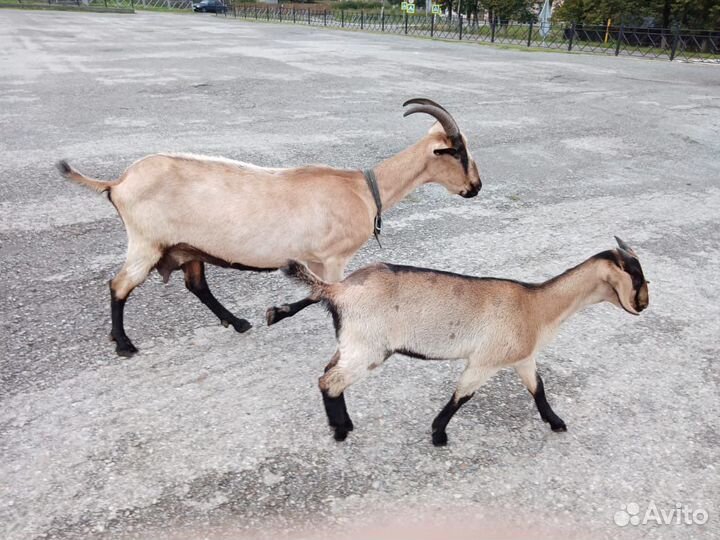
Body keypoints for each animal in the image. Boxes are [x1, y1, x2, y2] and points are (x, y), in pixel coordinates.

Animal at [57, 99, 482, 357]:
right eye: (458, 152)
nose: (475, 187)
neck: (364, 189)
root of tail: (118, 182)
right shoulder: (333, 256)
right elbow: (324, 292)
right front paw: (275, 313)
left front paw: (270, 314)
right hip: (147, 242)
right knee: (119, 285)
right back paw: (124, 344)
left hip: (187, 246)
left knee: (195, 284)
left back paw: (238, 322)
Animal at [284, 237, 650, 445]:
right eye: (635, 274)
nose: (644, 305)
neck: (536, 305)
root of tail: (337, 290)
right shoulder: (485, 360)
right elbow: (463, 395)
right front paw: (438, 435)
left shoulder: (522, 357)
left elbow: (539, 389)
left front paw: (556, 422)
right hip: (368, 346)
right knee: (329, 381)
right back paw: (340, 431)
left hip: (354, 343)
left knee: (329, 373)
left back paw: (343, 423)